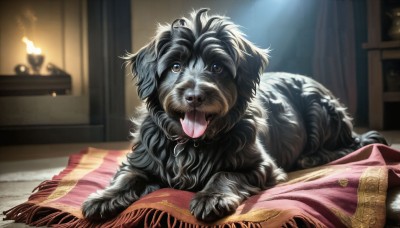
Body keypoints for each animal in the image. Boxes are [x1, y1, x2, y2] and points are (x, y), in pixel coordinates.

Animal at [82, 8, 388, 223]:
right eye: (175, 66)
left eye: (217, 67)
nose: (195, 96)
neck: (191, 144)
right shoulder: (140, 160)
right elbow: (127, 176)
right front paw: (104, 198)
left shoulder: (261, 165)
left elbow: (224, 173)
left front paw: (212, 197)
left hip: (318, 109)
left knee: (348, 146)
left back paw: (311, 157)